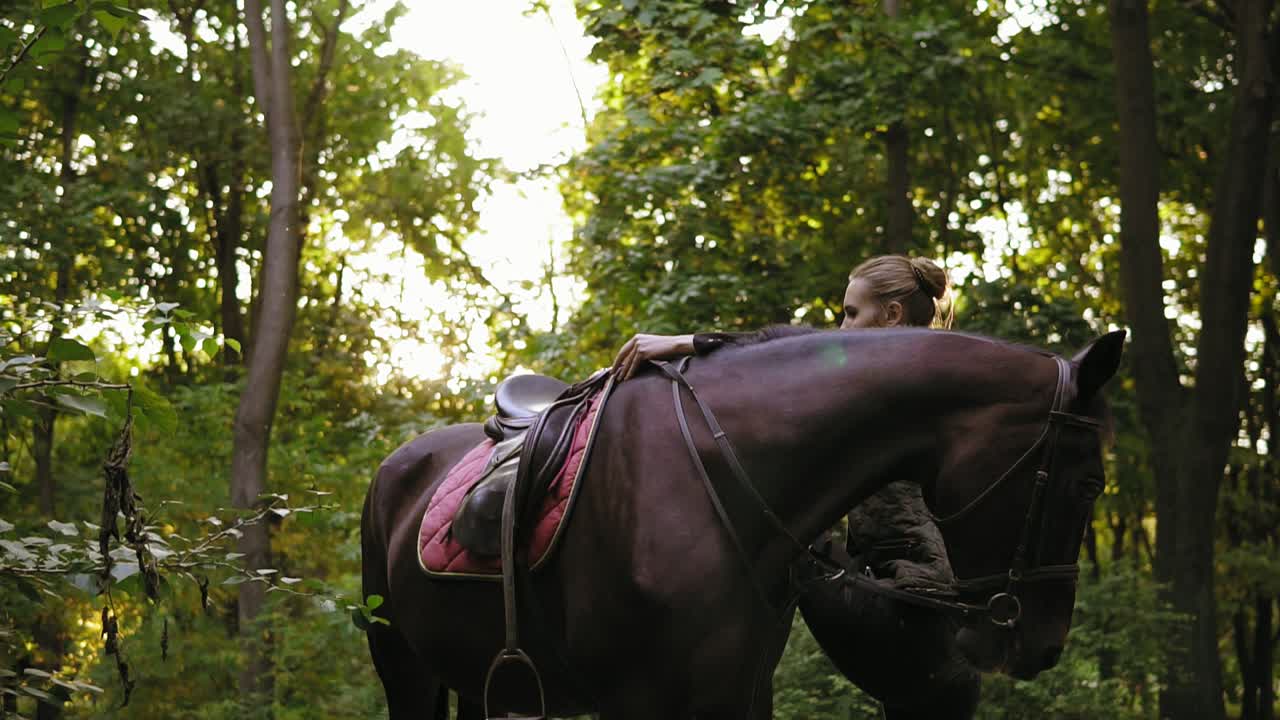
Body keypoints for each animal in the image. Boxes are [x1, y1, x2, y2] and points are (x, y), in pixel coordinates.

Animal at [361, 328, 1124, 719]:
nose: (1044, 646)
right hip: (403, 667)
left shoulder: (741, 688)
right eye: (1090, 481)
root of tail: (396, 462)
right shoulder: (639, 702)